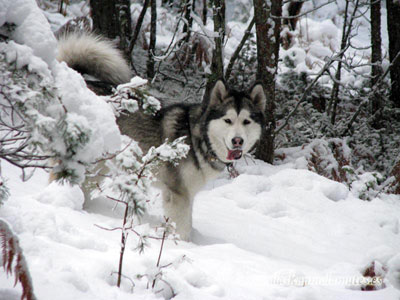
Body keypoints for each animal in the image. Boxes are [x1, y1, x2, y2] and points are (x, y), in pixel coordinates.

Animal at [57, 31, 266, 240]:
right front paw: (181, 244)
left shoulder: (187, 194)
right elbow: (182, 228)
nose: (237, 141)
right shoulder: (178, 194)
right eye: (228, 120)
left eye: (246, 121)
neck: (198, 139)